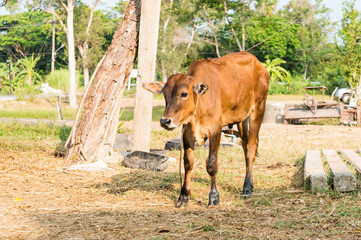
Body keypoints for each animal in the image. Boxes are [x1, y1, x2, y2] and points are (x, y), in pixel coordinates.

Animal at [143, 51, 268, 207]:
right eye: (164, 94)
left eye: (184, 93)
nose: (165, 121)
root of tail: (259, 65)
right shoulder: (187, 132)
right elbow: (188, 163)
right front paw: (184, 196)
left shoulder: (215, 130)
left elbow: (212, 164)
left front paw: (214, 196)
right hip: (242, 119)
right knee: (245, 147)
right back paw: (250, 183)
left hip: (258, 110)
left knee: (251, 148)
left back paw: (246, 189)